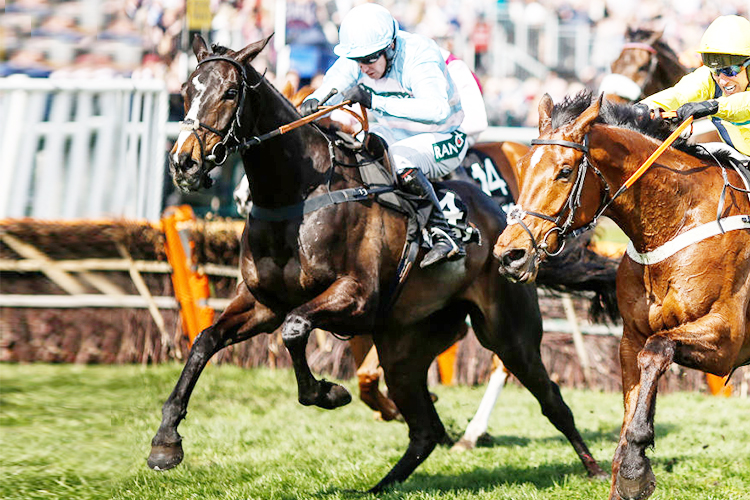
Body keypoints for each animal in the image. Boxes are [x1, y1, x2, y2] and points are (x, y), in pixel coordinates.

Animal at [148, 35, 612, 492]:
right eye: (186, 90)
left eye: (230, 92)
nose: (184, 162)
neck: (298, 194)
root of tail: (506, 223)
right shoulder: (262, 304)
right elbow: (205, 341)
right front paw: (165, 442)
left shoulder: (356, 296)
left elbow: (295, 329)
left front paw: (328, 393)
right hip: (405, 347)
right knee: (424, 428)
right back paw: (380, 486)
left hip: (509, 332)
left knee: (550, 398)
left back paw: (593, 468)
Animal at [494, 91, 750, 500]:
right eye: (521, 166)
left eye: (564, 170)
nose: (509, 254)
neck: (678, 220)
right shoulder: (631, 338)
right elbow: (638, 384)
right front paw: (628, 467)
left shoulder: (726, 340)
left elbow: (658, 350)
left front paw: (634, 465)